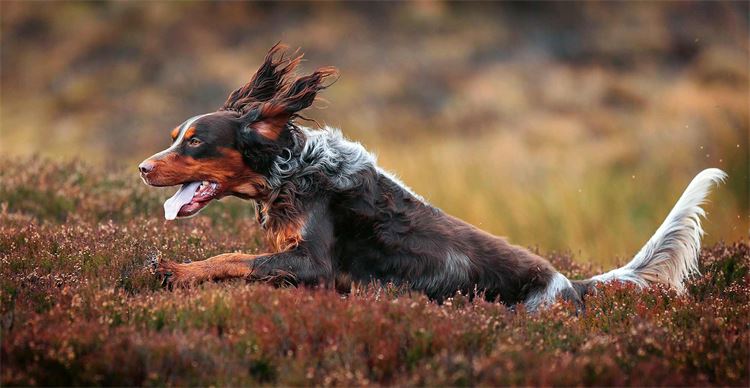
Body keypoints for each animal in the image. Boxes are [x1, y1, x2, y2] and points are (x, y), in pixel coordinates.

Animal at [138, 43, 724, 310]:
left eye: (195, 141)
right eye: (176, 135)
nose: (143, 168)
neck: (296, 173)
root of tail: (569, 285)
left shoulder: (313, 266)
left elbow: (231, 257)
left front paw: (174, 270)